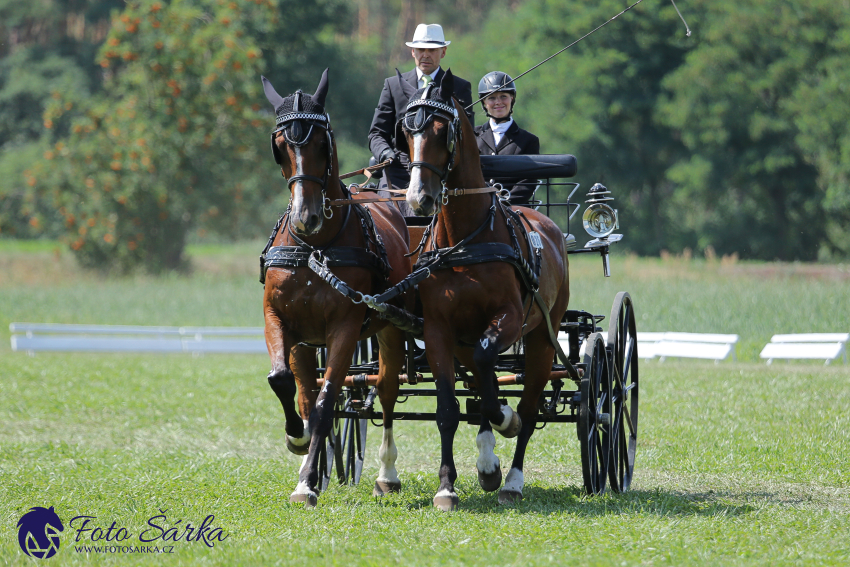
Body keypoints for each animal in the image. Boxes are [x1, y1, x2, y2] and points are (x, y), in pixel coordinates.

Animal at [262, 69, 410, 508]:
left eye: (321, 143)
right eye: (280, 146)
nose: (306, 216)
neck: (316, 247)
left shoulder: (344, 326)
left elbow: (328, 401)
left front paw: (307, 482)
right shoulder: (282, 322)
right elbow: (287, 384)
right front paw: (298, 441)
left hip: (390, 329)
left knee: (387, 389)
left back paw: (387, 473)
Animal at [398, 70, 568, 510]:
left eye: (442, 130)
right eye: (407, 131)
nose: (419, 200)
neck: (464, 240)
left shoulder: (507, 318)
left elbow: (494, 376)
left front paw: (506, 421)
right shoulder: (438, 331)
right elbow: (448, 409)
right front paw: (446, 486)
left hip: (543, 337)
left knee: (528, 404)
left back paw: (511, 479)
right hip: (464, 338)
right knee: (478, 384)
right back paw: (489, 464)